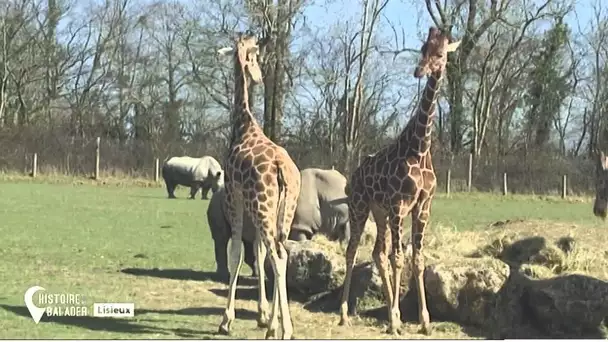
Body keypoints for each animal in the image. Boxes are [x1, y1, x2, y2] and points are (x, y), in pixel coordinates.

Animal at [216, 32, 302, 340]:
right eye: (255, 58)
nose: (259, 78)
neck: (243, 124)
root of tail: (282, 169)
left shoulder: (234, 196)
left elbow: (237, 253)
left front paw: (226, 320)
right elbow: (257, 252)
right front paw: (265, 317)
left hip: (261, 205)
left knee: (277, 255)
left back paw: (286, 330)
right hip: (283, 210)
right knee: (281, 252)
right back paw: (277, 328)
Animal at [338, 27, 460, 334]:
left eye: (440, 53)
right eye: (423, 48)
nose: (419, 71)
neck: (419, 148)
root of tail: (354, 175)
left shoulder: (422, 207)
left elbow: (416, 259)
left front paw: (423, 321)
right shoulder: (398, 205)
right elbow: (399, 258)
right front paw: (395, 319)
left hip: (379, 212)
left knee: (377, 253)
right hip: (360, 207)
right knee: (353, 250)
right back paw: (345, 313)